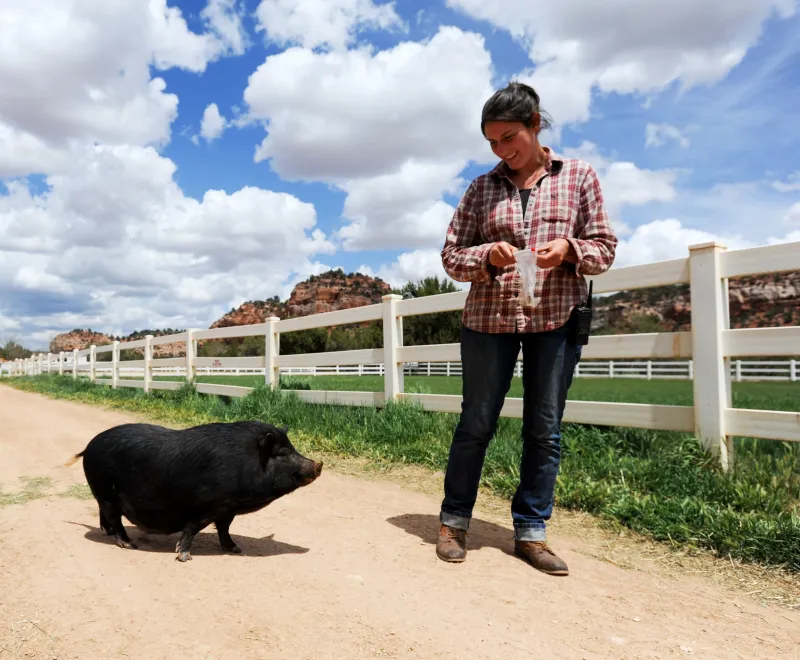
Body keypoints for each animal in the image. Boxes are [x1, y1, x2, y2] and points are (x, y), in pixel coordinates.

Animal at [65, 420, 322, 560]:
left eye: (292, 448)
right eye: (282, 453)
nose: (318, 465)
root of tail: (88, 447)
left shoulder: (226, 508)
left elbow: (224, 529)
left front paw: (235, 549)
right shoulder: (204, 506)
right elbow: (192, 529)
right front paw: (184, 556)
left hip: (103, 494)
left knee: (105, 514)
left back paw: (107, 533)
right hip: (106, 491)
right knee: (115, 518)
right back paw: (129, 544)